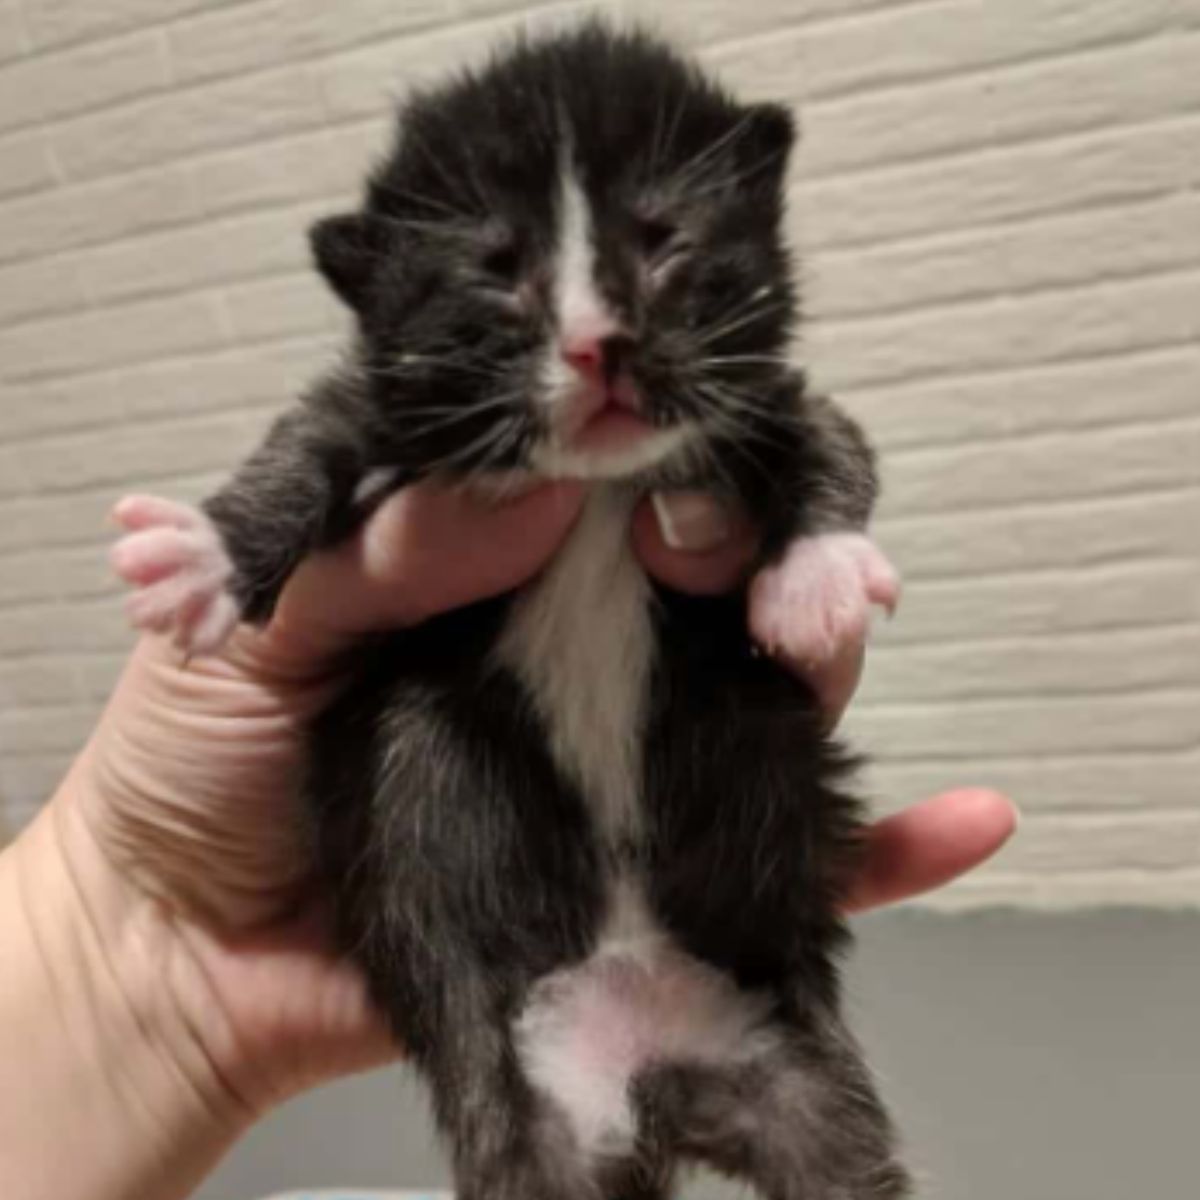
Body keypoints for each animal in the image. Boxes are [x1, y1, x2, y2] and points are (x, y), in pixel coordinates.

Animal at [114, 21, 907, 1200]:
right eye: (497, 273)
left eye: (663, 240)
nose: (597, 343)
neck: (593, 484)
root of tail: (643, 1069)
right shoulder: (387, 407)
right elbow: (305, 439)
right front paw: (207, 554)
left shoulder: (767, 396)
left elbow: (832, 443)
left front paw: (818, 576)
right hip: (513, 1106)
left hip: (802, 1077)